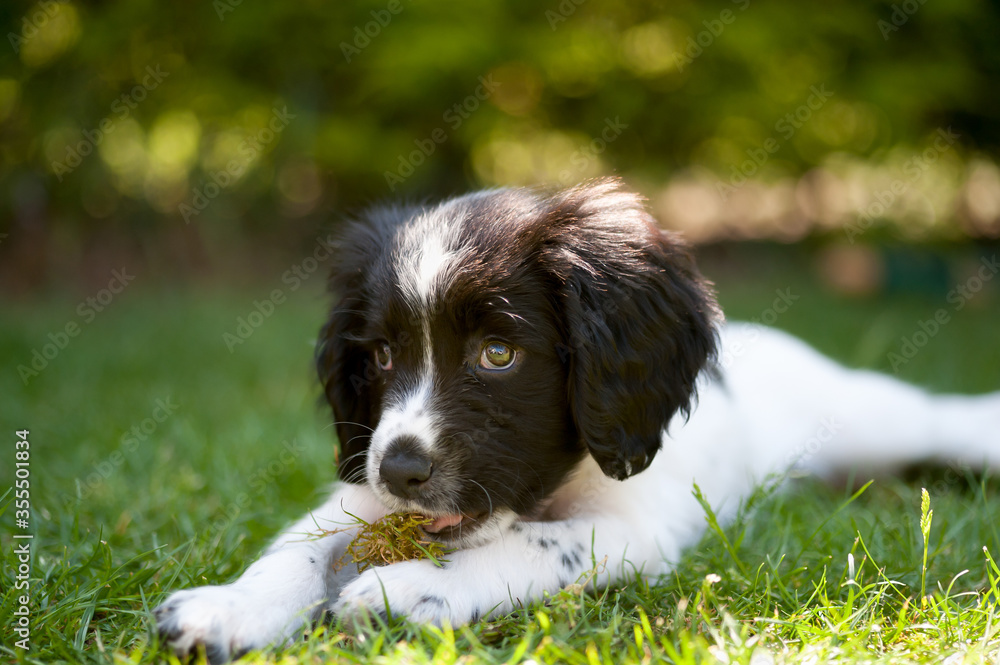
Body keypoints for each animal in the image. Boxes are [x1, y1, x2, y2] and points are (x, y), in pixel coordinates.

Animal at [154, 178, 1000, 660]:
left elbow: (531, 545)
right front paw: (228, 607)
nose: (400, 470)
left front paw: (408, 590)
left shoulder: (635, 529)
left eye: (499, 352)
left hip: (872, 418)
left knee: (941, 419)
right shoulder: (359, 493)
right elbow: (298, 548)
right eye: (383, 355)